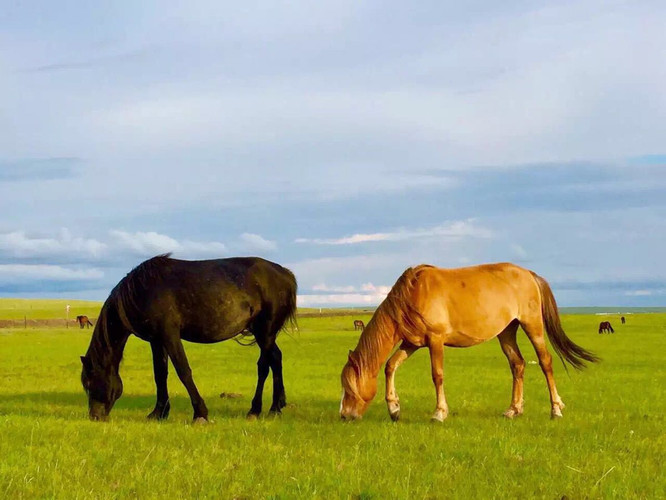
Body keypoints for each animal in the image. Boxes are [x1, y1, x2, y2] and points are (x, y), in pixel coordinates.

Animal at [80, 254, 297, 423]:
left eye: (90, 383)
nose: (95, 416)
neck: (141, 291)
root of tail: (285, 274)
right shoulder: (156, 340)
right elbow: (160, 374)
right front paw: (159, 412)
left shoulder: (170, 335)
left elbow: (183, 371)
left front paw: (200, 413)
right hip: (263, 333)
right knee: (275, 359)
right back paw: (272, 408)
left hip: (265, 331)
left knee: (266, 365)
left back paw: (259, 410)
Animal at [340, 263, 598, 422]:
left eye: (348, 387)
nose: (344, 415)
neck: (411, 295)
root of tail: (529, 274)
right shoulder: (412, 343)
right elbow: (391, 366)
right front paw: (394, 409)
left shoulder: (435, 340)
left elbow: (437, 375)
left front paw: (439, 413)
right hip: (506, 331)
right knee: (518, 364)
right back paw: (513, 409)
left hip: (532, 324)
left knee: (545, 362)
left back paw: (555, 409)